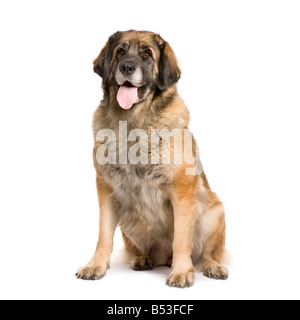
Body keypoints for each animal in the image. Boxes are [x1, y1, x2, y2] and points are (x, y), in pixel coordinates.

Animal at [76, 30, 229, 288]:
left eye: (147, 54)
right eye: (120, 51)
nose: (127, 67)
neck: (133, 122)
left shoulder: (182, 191)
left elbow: (181, 239)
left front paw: (181, 272)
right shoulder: (107, 189)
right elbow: (104, 235)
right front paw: (95, 266)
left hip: (213, 212)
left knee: (206, 253)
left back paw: (212, 267)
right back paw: (143, 259)